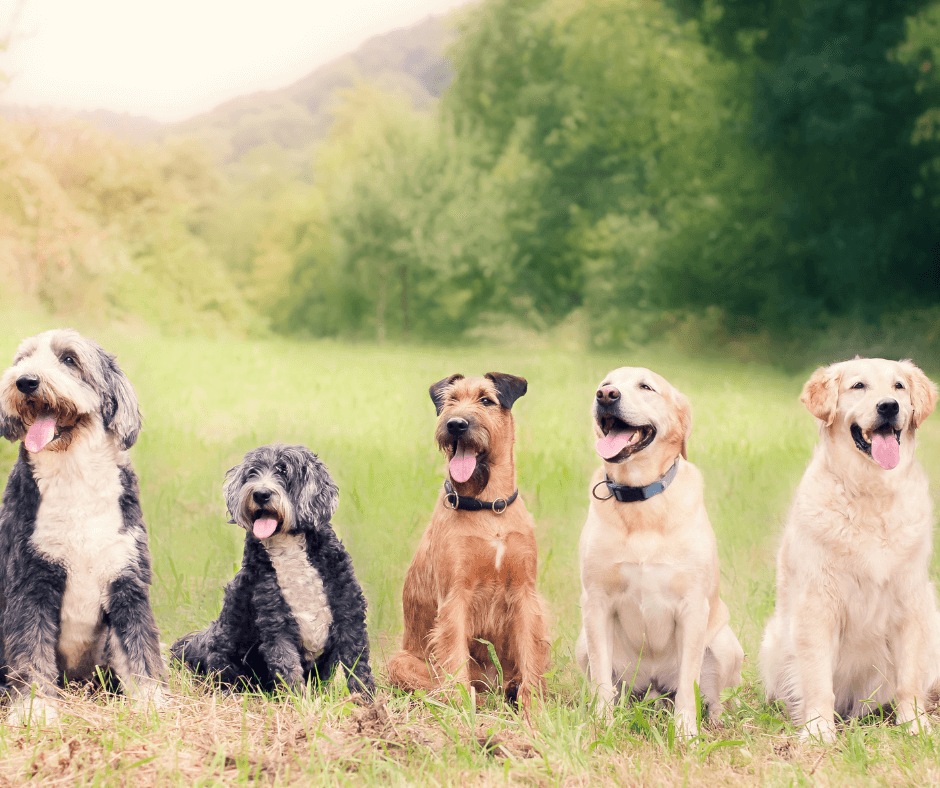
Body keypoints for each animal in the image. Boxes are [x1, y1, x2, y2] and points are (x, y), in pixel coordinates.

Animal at [0, 326, 165, 720]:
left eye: (69, 359)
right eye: (23, 359)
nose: (25, 381)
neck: (74, 475)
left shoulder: (127, 580)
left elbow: (140, 647)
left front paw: (151, 703)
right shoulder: (30, 582)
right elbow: (31, 651)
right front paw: (35, 710)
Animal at [171, 444, 376, 696]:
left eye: (283, 472)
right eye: (252, 473)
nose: (260, 494)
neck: (287, 546)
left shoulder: (349, 613)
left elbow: (358, 664)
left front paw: (367, 700)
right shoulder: (275, 622)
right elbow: (287, 668)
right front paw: (298, 701)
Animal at [388, 372, 552, 712]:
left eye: (486, 400)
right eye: (451, 400)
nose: (456, 424)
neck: (489, 507)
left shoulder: (524, 593)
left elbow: (531, 655)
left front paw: (534, 710)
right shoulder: (456, 595)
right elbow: (454, 657)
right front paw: (462, 707)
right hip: (401, 662)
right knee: (435, 683)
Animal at [576, 366, 744, 736]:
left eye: (646, 387)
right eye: (604, 384)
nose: (606, 395)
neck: (640, 498)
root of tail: (652, 688)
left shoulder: (693, 606)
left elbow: (688, 684)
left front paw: (685, 733)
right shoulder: (596, 602)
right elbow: (601, 680)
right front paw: (601, 724)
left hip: (725, 644)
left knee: (715, 695)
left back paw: (716, 721)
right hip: (584, 645)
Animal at [760, 358, 940, 740]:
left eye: (899, 386)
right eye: (859, 386)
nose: (889, 406)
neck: (871, 491)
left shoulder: (911, 602)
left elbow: (909, 678)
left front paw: (915, 724)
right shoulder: (818, 604)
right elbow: (817, 679)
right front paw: (817, 729)